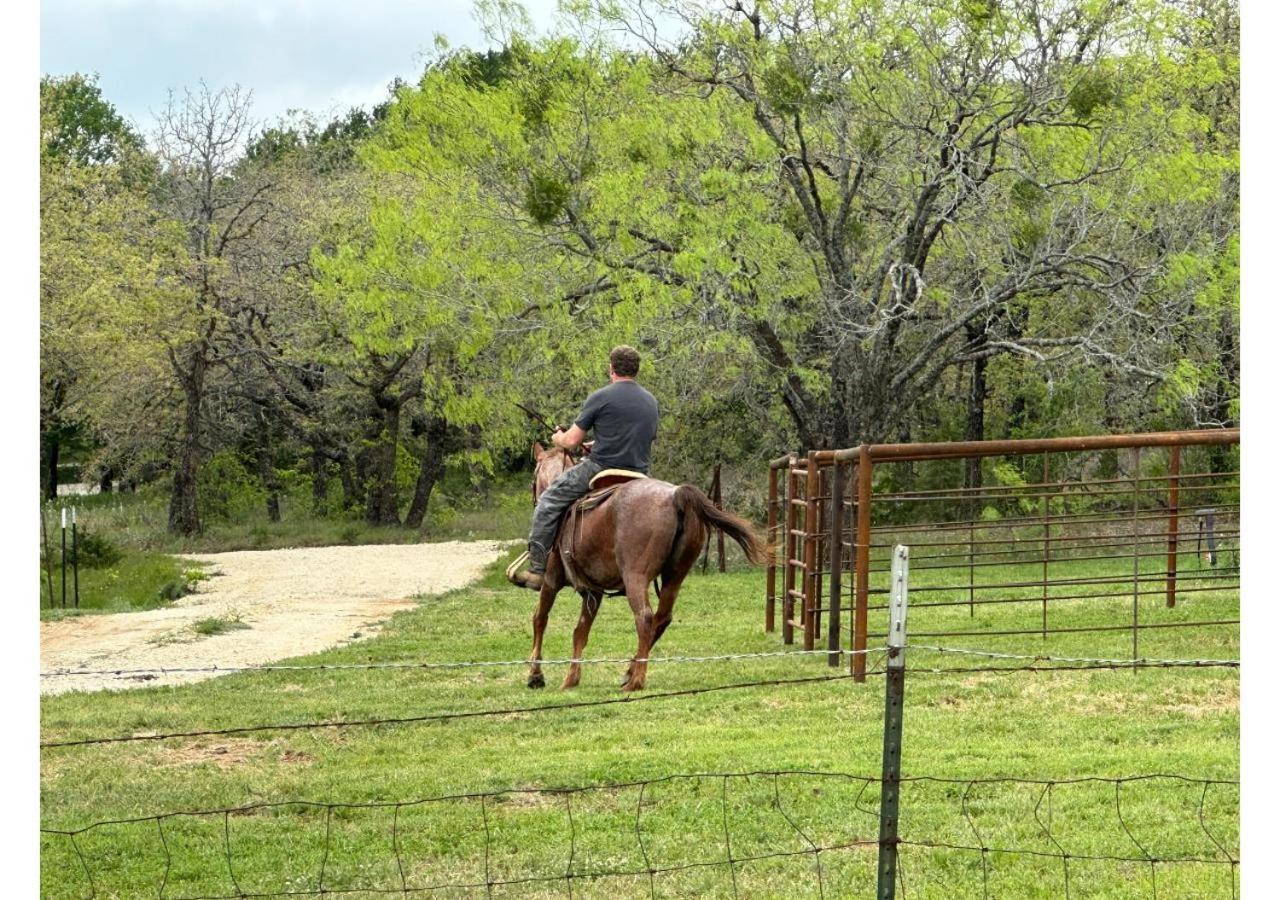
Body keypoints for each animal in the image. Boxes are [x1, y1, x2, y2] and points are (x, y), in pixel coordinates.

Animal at [524, 442, 762, 691]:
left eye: (533, 478)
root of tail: (676, 496)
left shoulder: (551, 579)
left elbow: (540, 618)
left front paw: (535, 675)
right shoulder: (593, 591)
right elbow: (580, 631)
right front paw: (571, 678)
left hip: (635, 577)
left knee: (645, 617)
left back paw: (636, 680)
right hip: (675, 575)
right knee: (661, 618)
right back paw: (630, 671)